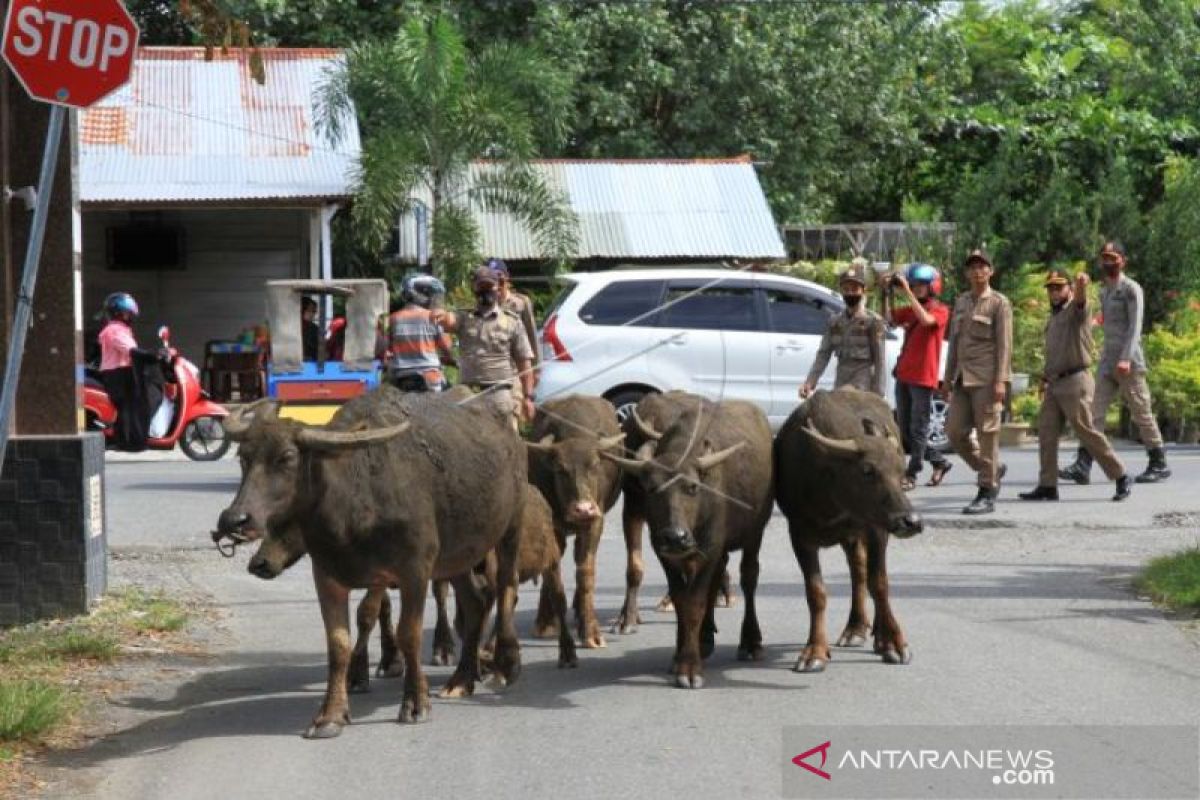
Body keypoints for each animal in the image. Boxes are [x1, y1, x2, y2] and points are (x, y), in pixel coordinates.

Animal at [216, 388, 525, 738]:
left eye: (287, 457)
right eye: (244, 457)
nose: (234, 520)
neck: (354, 502)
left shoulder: (414, 571)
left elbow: (408, 634)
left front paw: (415, 704)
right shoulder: (328, 576)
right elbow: (338, 643)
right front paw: (330, 715)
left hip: (511, 528)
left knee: (507, 588)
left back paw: (506, 664)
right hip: (459, 554)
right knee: (474, 603)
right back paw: (461, 679)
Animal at [604, 400, 772, 690]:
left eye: (692, 487)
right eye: (652, 488)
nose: (675, 537)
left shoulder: (711, 546)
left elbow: (695, 603)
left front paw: (690, 668)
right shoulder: (666, 553)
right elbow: (682, 600)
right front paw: (680, 655)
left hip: (754, 534)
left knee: (749, 578)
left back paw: (750, 642)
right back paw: (705, 637)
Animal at [772, 383, 921, 671]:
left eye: (900, 471)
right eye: (867, 470)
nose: (911, 522)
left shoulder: (877, 529)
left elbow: (880, 583)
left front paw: (894, 643)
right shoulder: (799, 534)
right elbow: (816, 592)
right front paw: (815, 652)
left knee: (864, 574)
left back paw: (876, 634)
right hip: (850, 538)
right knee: (857, 569)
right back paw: (855, 628)